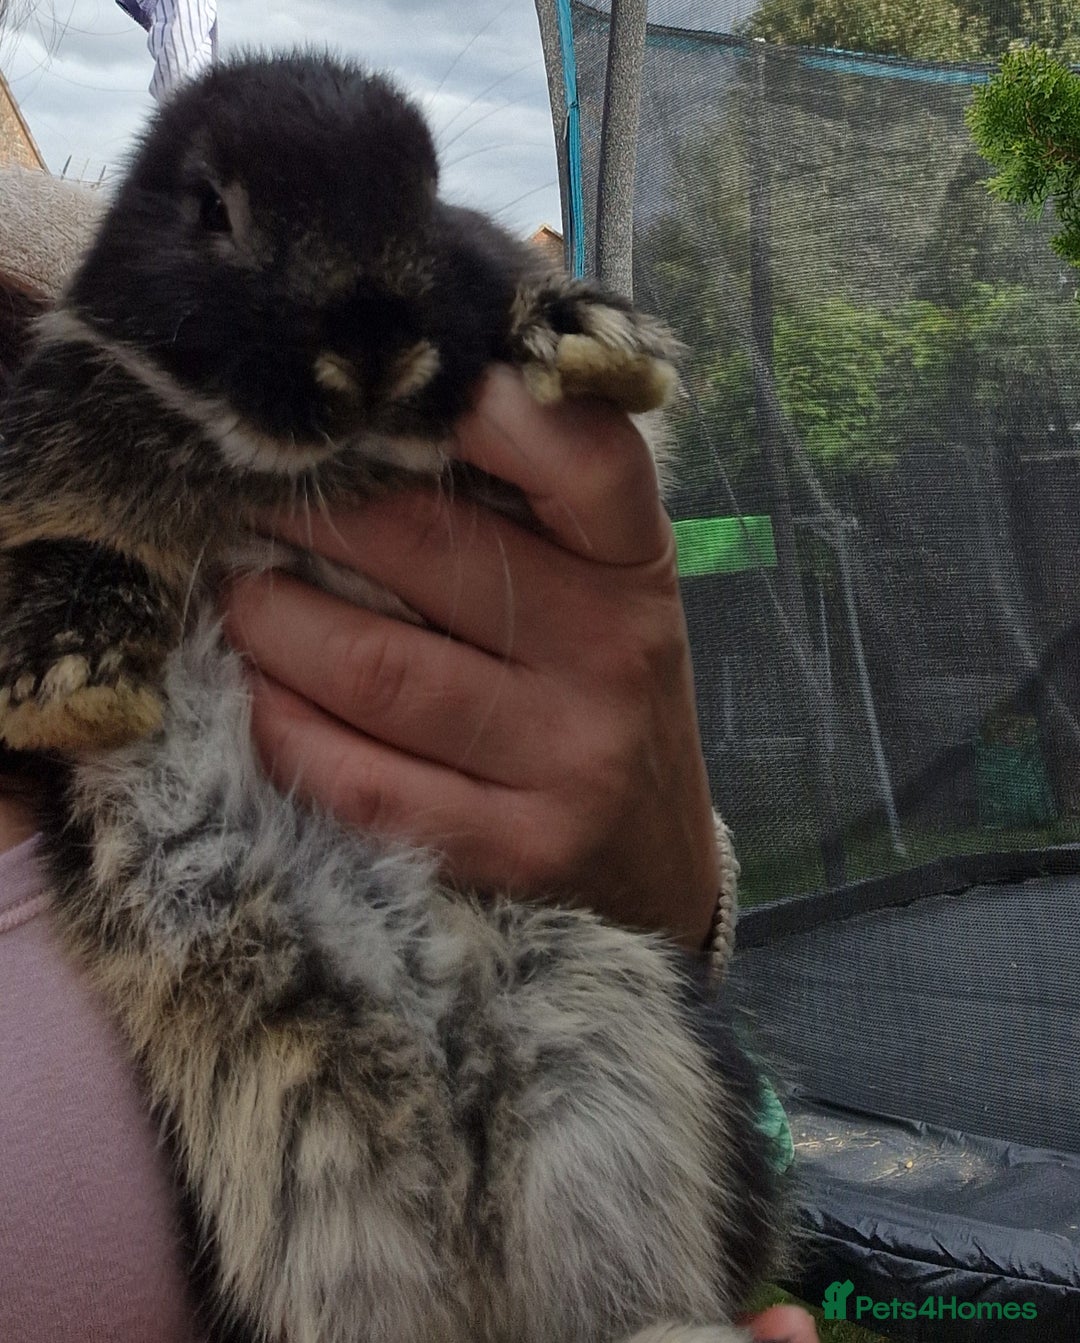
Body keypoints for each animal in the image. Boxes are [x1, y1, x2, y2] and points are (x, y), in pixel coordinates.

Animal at [0, 51, 782, 1343]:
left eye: (427, 189)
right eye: (213, 208)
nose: (371, 344)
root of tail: (443, 1091)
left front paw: (589, 338)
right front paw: (77, 681)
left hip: (608, 1053)